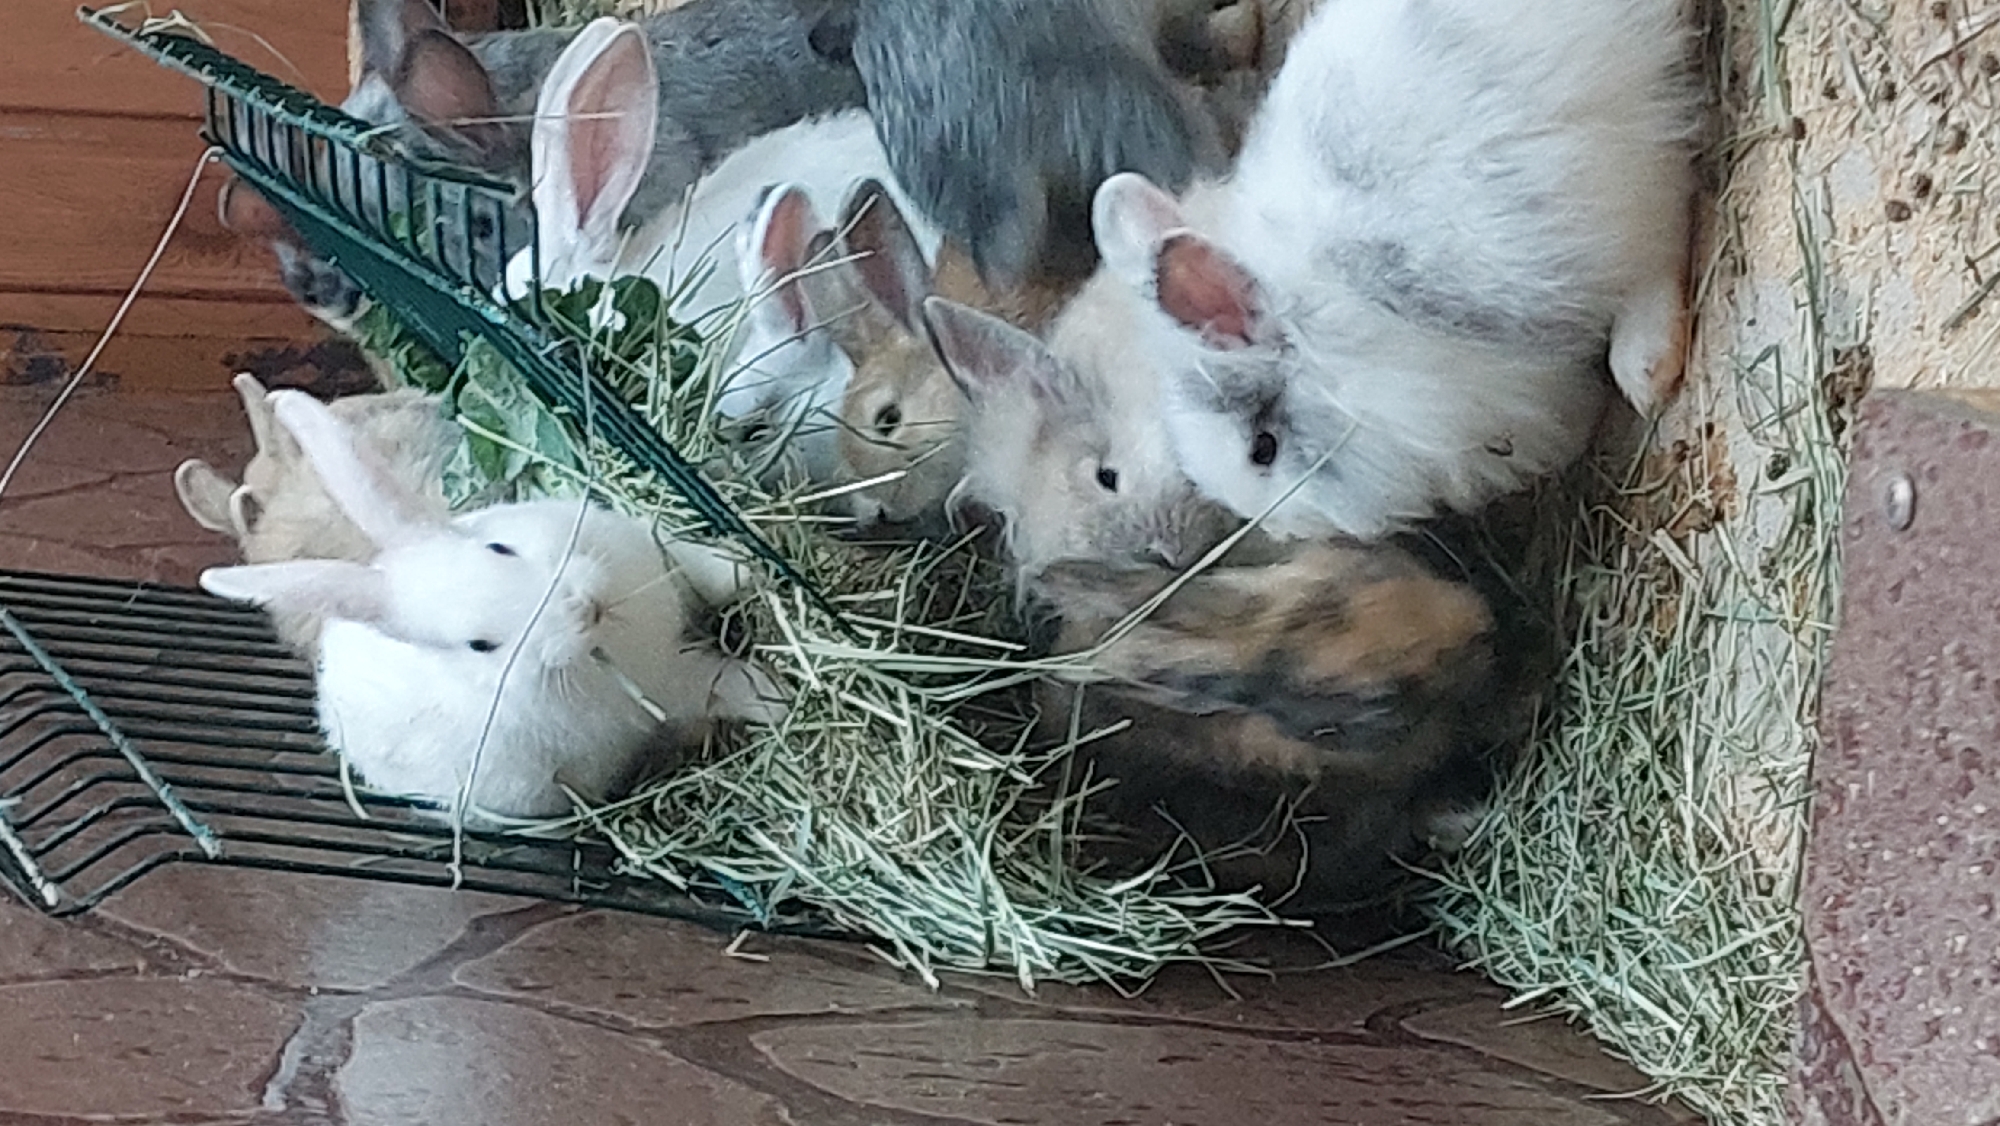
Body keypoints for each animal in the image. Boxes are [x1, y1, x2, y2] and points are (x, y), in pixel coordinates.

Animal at [198, 389, 784, 820]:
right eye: (480, 646)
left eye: (498, 547)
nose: (581, 608)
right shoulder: (667, 688)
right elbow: (721, 682)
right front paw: (776, 700)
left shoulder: (653, 556)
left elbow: (697, 566)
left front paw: (745, 569)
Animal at [1078, 0, 1703, 543]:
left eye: (1264, 448)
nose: (1284, 530)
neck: (1358, 316)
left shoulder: (1582, 225)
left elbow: (1656, 254)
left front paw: (1645, 374)